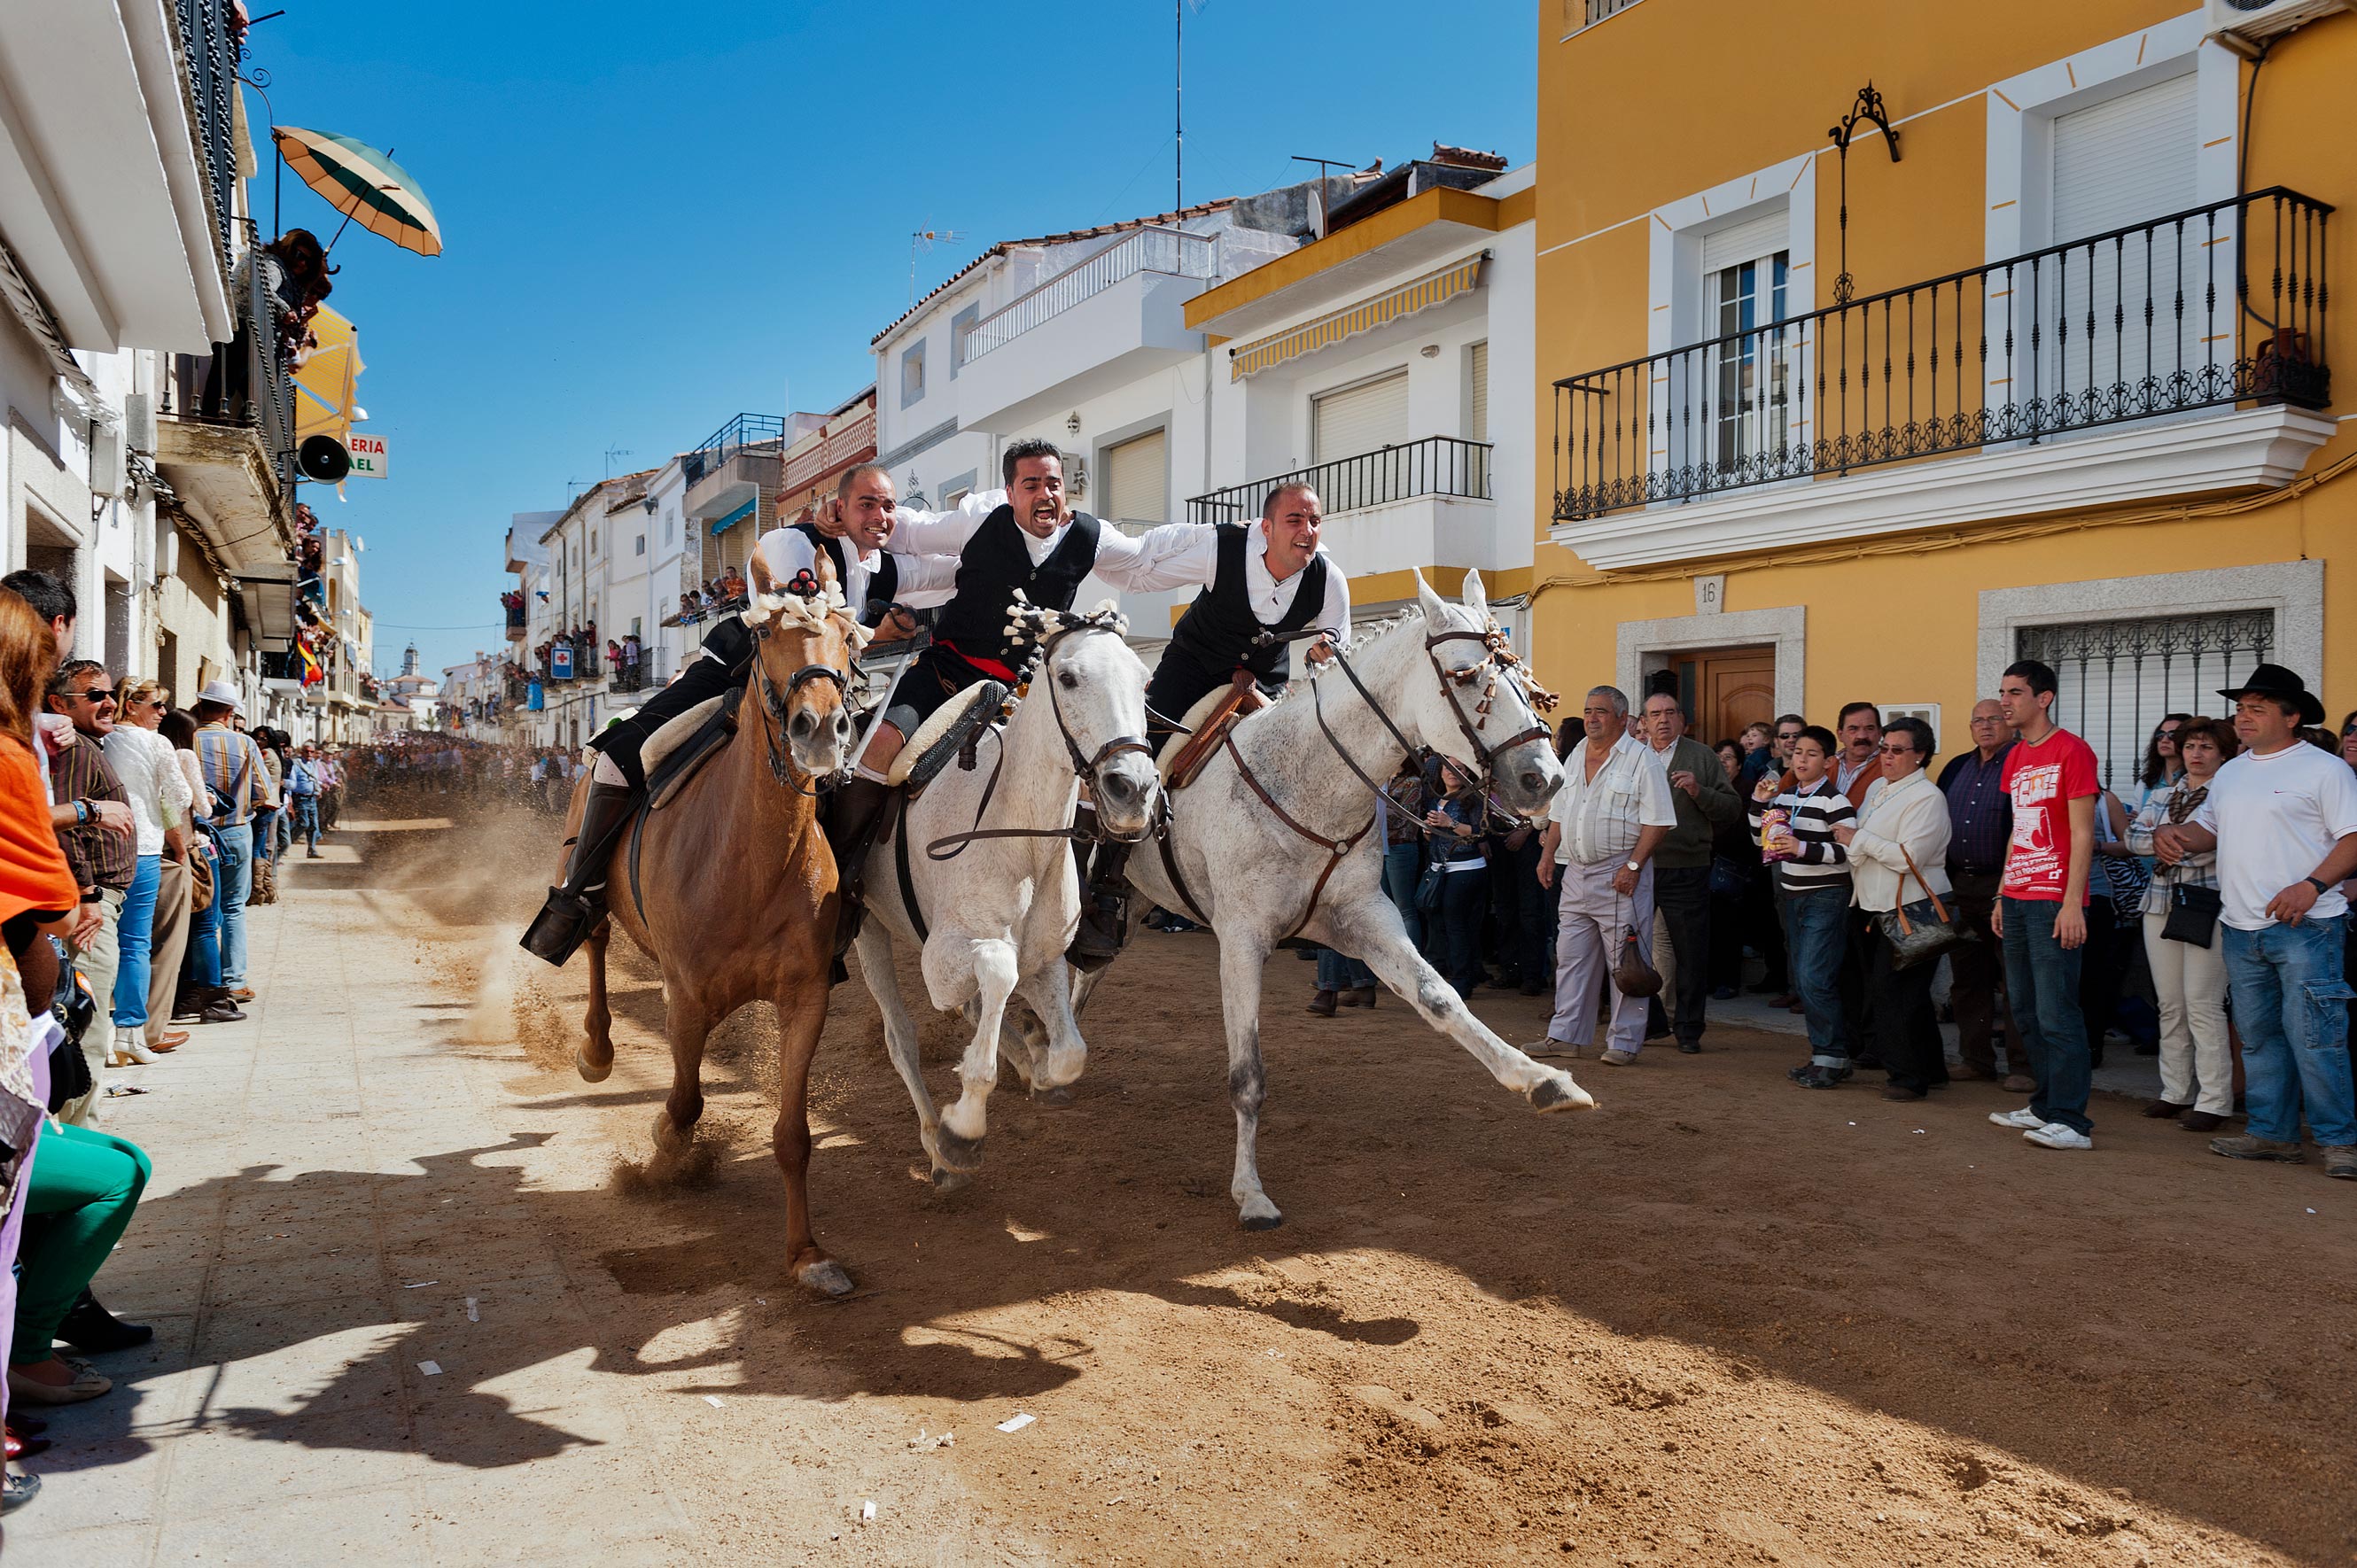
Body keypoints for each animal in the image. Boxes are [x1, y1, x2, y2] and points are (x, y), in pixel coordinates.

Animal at [567, 555, 867, 1295]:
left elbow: (792, 1135)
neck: (752, 859)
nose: (820, 728)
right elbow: (682, 1105)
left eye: (848, 637)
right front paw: (660, 1160)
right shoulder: (687, 1000)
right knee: (594, 942)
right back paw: (596, 1049)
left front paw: (806, 1255)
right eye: (762, 636)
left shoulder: (805, 999)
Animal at [854, 602, 1159, 1186]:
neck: (1019, 835)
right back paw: (938, 1147)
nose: (1131, 789)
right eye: (1068, 678)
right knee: (901, 1039)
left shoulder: (1046, 960)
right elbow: (996, 971)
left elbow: (1069, 1053)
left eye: (1144, 681)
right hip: (868, 930)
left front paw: (1038, 1062)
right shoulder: (943, 958)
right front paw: (963, 1129)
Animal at [1092, 568, 1592, 1230]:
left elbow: (1441, 997)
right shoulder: (1242, 938)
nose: (1547, 778)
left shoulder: (1365, 918)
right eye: (1465, 675)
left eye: (1519, 676)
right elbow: (1247, 1075)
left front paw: (1540, 1079)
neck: (1309, 784)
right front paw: (1251, 1193)